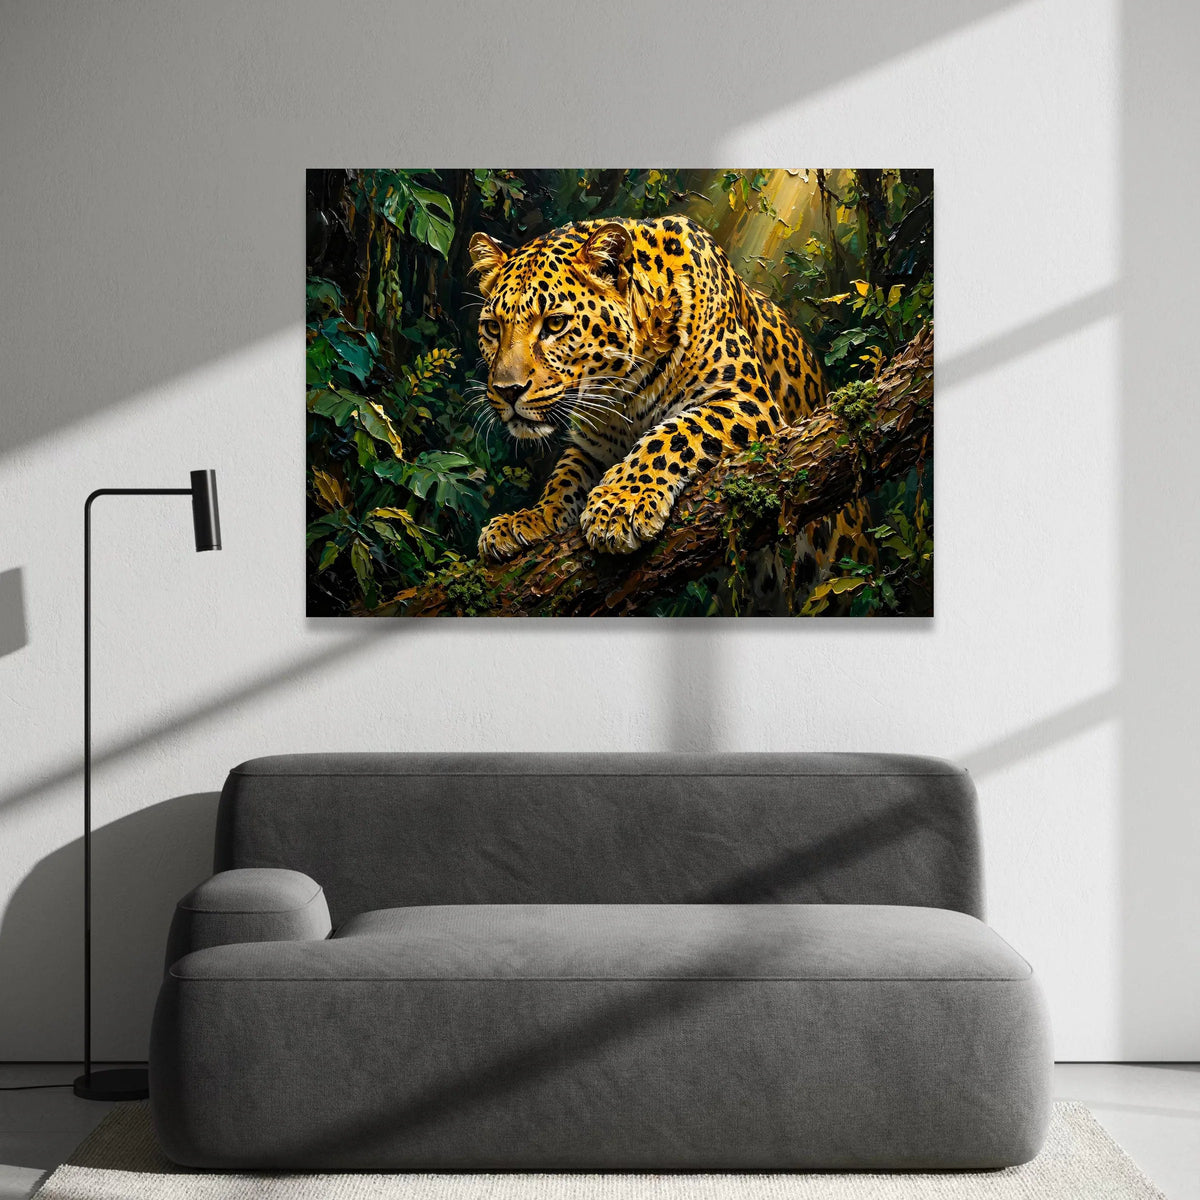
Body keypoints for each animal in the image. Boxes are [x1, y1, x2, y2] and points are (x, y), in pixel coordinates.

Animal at [468, 214, 870, 588]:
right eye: (492, 328)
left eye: (554, 324)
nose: (507, 390)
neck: (620, 396)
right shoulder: (593, 445)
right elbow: (564, 477)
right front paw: (531, 518)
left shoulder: (746, 399)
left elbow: (671, 435)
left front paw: (619, 505)